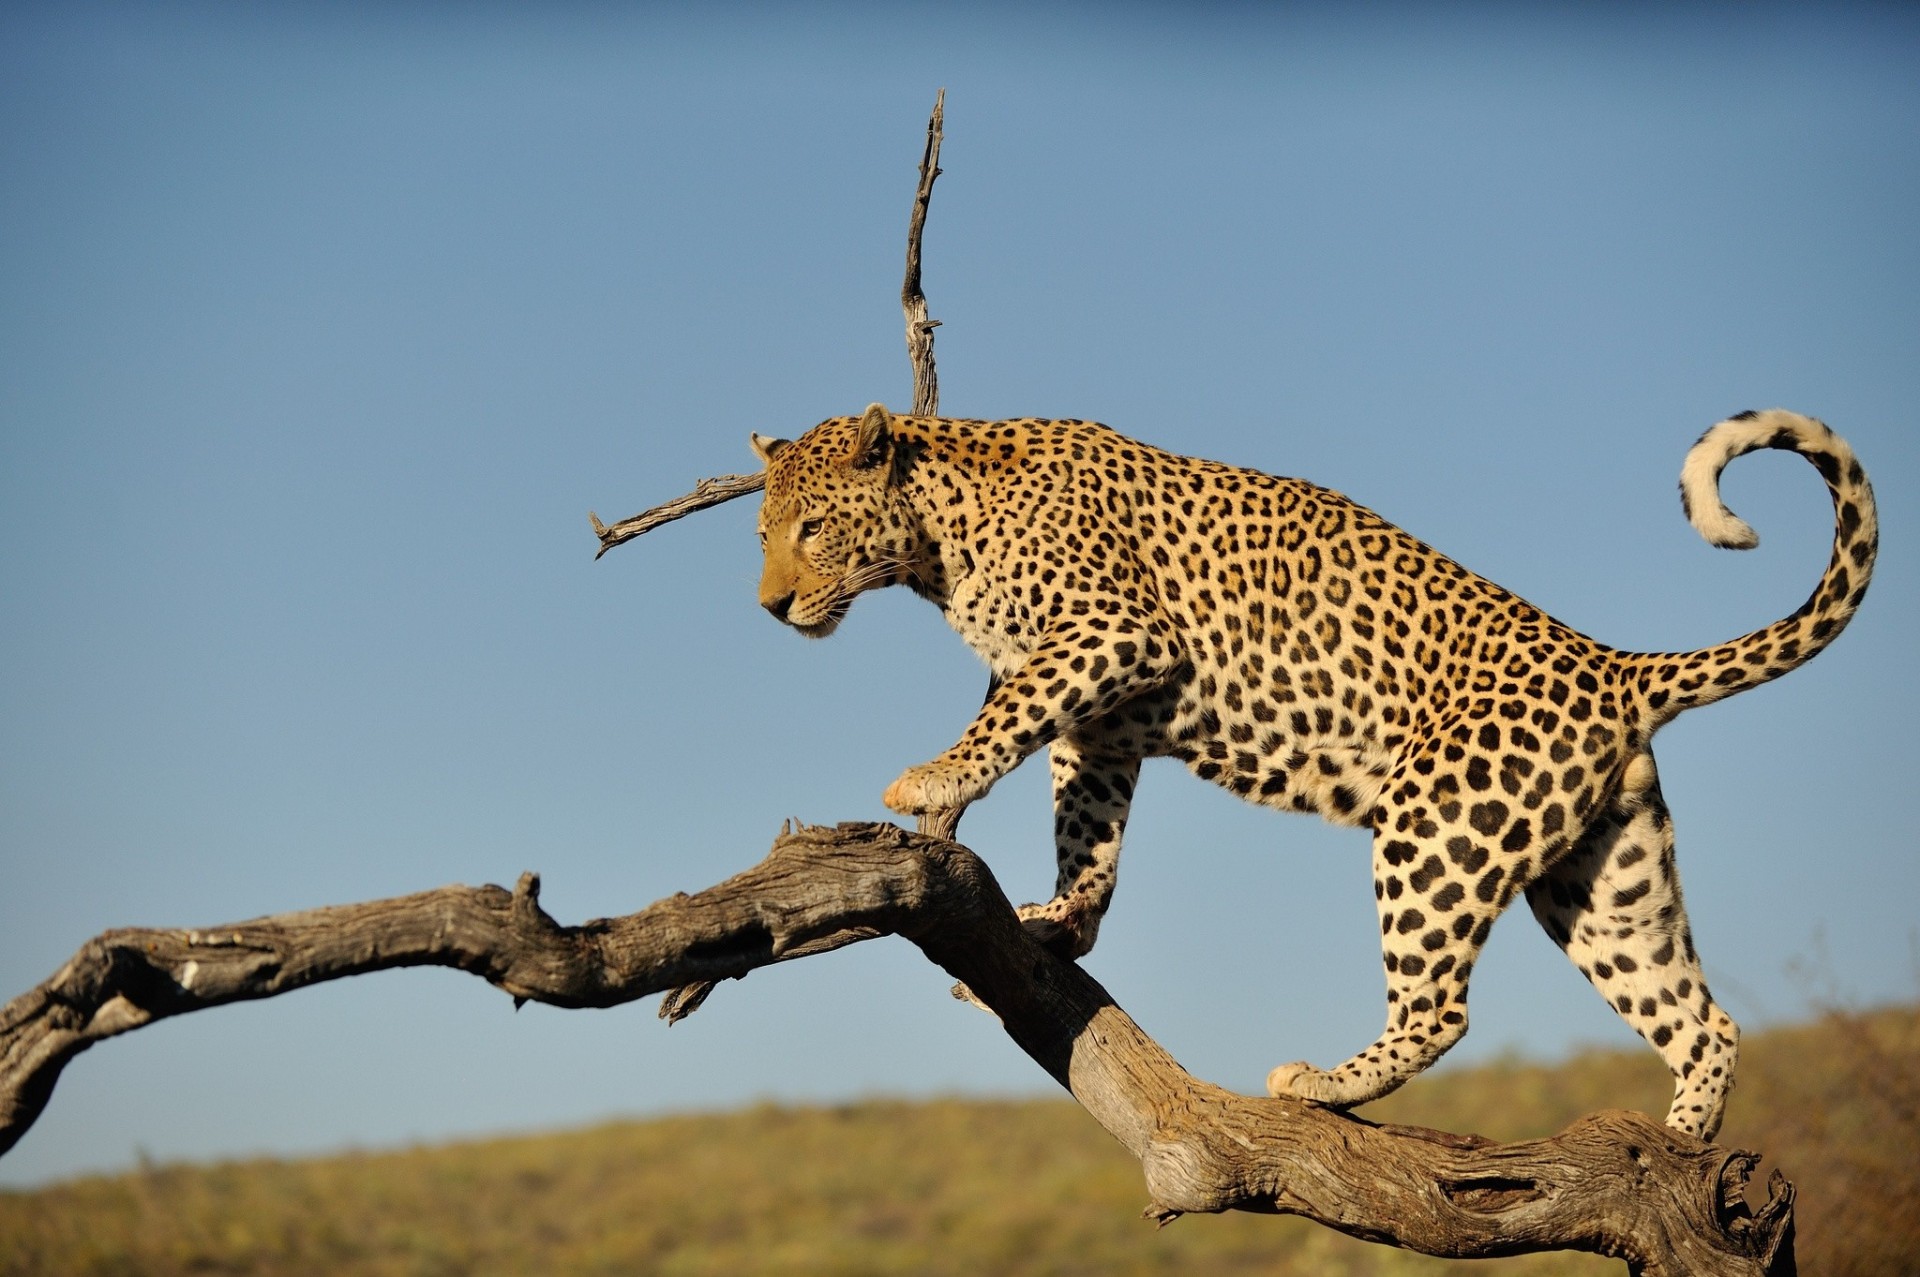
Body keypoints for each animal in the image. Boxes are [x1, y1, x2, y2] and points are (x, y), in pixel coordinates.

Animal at [749, 403, 1876, 1141]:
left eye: (811, 526)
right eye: (762, 530)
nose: (770, 605)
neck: (935, 541)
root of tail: (1615, 664)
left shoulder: (1113, 636)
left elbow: (1005, 719)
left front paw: (931, 781)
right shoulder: (1103, 723)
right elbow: (1087, 827)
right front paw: (1063, 920)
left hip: (1437, 829)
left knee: (1442, 1008)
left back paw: (1323, 1083)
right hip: (1605, 880)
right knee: (1703, 1018)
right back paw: (1679, 1145)